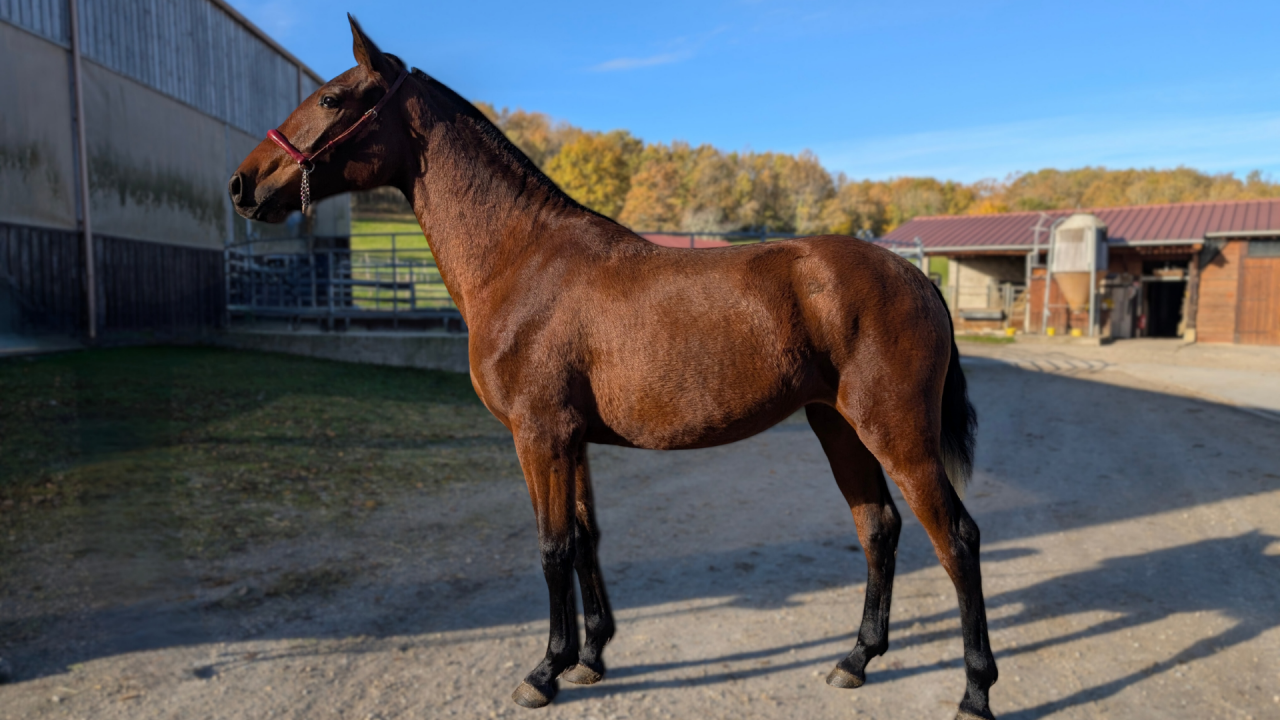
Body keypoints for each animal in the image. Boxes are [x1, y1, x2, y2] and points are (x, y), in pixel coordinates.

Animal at [229, 17, 998, 720]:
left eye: (332, 98)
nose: (242, 184)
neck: (521, 259)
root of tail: (916, 276)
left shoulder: (538, 436)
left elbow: (551, 547)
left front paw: (545, 671)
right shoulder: (571, 440)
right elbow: (584, 539)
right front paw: (592, 656)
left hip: (896, 433)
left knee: (957, 539)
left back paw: (974, 693)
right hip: (838, 426)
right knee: (878, 528)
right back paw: (856, 659)